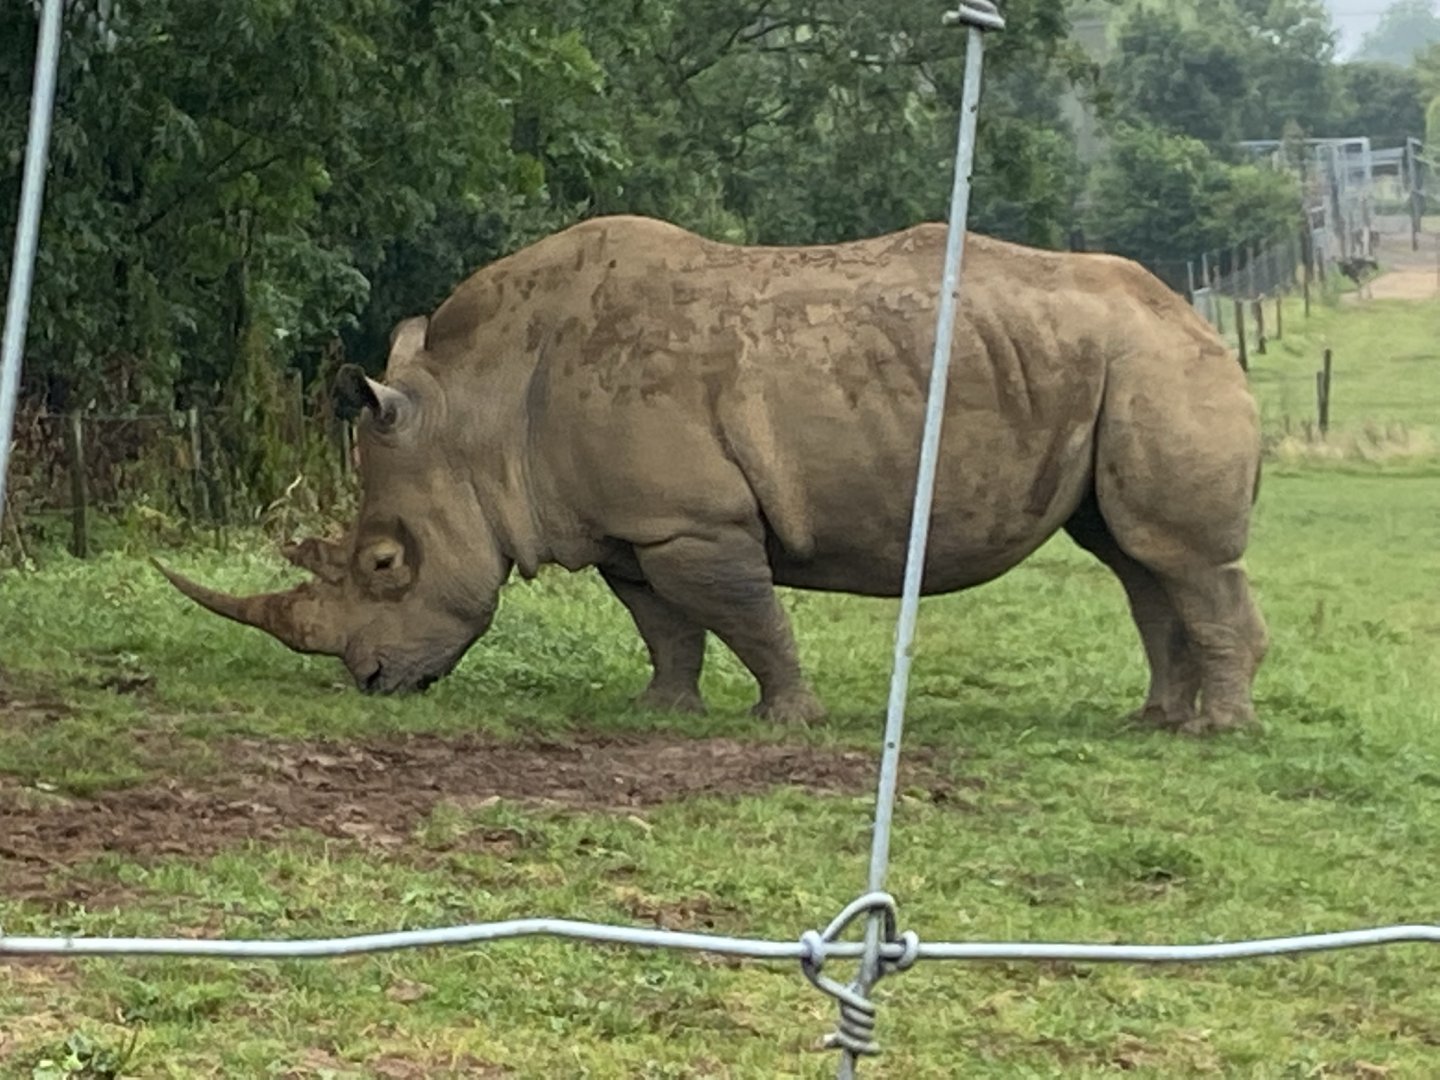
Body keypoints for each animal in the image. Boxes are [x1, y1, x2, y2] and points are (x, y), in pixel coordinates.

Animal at [156, 214, 1268, 734]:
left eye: (386, 564)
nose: (373, 683)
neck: (478, 409)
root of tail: (1193, 312)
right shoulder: (628, 526)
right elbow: (666, 623)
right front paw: (663, 710)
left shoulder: (692, 521)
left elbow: (746, 615)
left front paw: (788, 721)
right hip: (1111, 366)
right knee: (1133, 557)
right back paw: (1155, 721)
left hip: (1158, 367)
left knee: (1176, 556)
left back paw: (1213, 732)